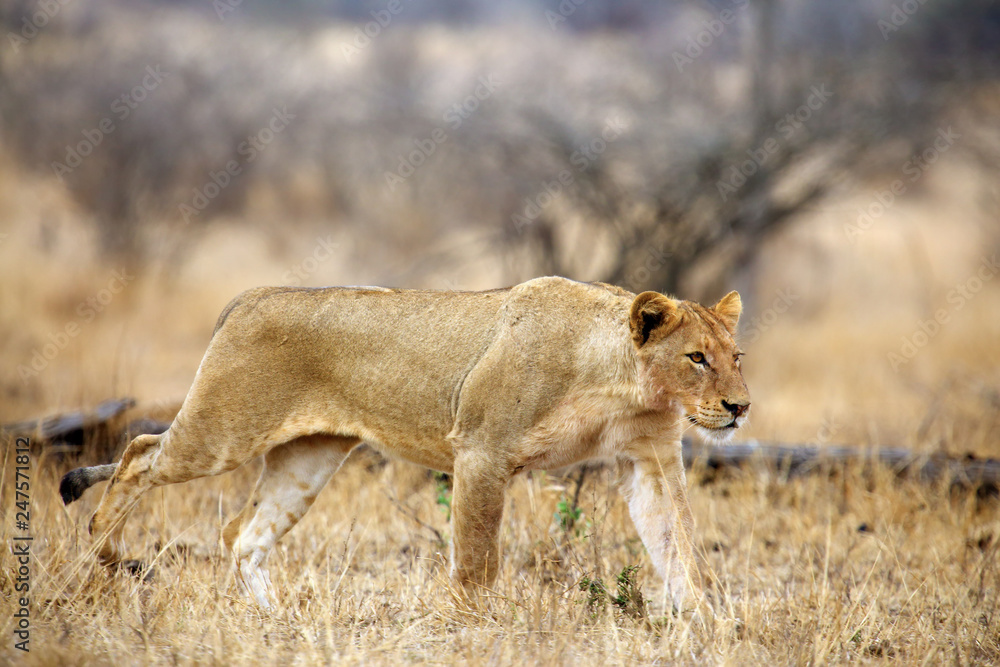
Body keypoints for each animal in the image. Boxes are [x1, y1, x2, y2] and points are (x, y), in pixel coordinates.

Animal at [60, 276, 749, 611]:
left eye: (735, 358)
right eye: (696, 358)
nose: (740, 407)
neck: (619, 383)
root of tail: (250, 296)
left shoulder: (649, 459)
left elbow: (682, 549)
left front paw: (709, 629)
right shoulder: (481, 451)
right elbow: (475, 563)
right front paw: (475, 629)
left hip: (308, 458)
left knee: (242, 535)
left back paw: (276, 620)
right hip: (220, 431)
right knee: (138, 455)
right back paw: (107, 552)